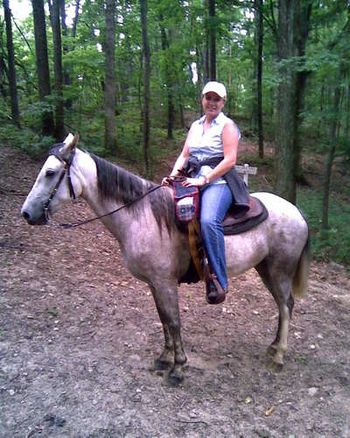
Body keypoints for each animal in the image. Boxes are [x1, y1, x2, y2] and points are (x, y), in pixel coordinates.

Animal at [21, 133, 308, 384]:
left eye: (50, 173)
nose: (26, 213)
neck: (143, 215)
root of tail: (297, 212)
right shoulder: (154, 284)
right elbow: (163, 319)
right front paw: (164, 358)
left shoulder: (165, 283)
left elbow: (173, 321)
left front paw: (178, 368)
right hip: (265, 269)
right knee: (283, 306)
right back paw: (273, 347)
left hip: (280, 271)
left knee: (285, 306)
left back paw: (279, 356)